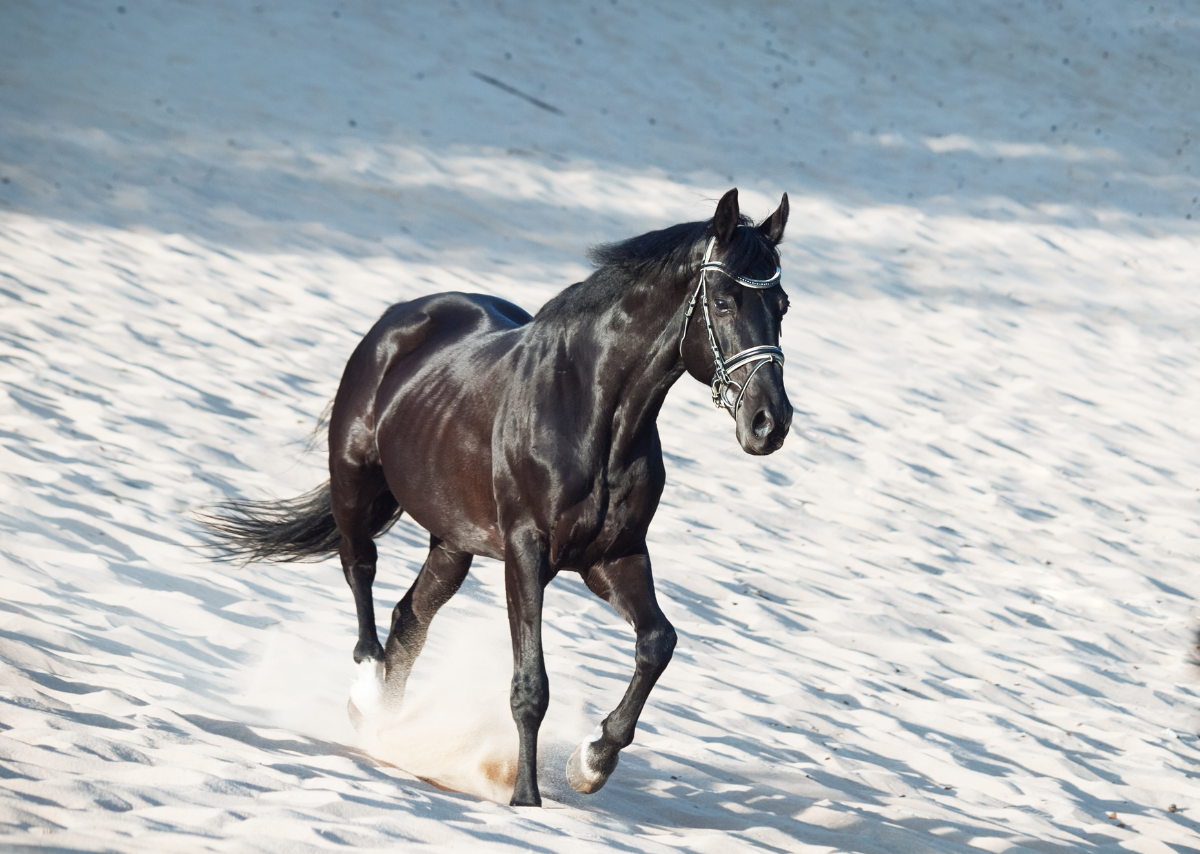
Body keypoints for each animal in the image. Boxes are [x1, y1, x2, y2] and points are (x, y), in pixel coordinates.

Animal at [204, 188, 793, 806]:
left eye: (781, 305)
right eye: (724, 302)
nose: (769, 424)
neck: (593, 413)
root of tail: (401, 318)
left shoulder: (614, 555)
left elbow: (658, 642)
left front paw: (592, 762)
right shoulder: (526, 552)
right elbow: (531, 684)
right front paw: (526, 799)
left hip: (452, 541)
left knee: (410, 617)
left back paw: (388, 729)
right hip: (354, 483)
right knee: (360, 568)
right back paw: (366, 692)